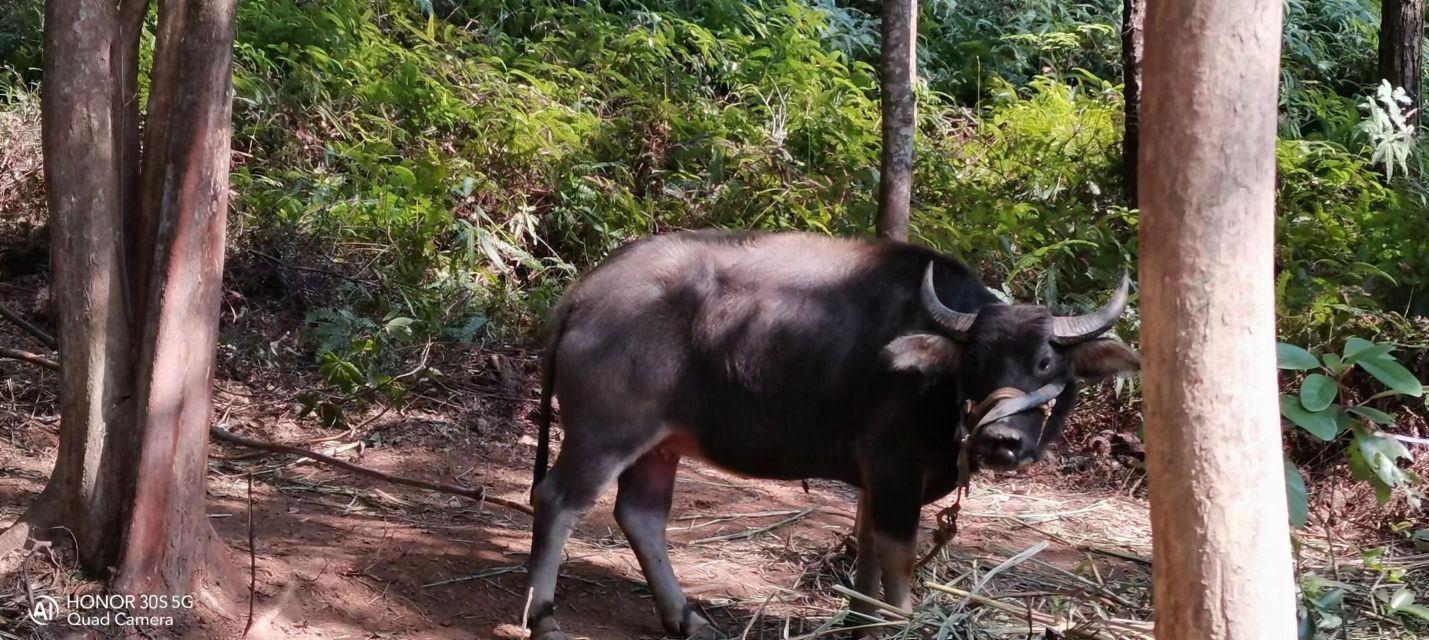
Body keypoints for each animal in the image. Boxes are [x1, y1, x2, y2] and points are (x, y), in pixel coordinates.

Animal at [523, 227, 1137, 637]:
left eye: (1044, 363)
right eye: (975, 363)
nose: (1000, 441)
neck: (930, 380)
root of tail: (582, 295)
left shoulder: (876, 478)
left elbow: (866, 549)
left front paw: (859, 622)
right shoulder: (895, 471)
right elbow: (898, 563)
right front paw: (895, 623)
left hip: (660, 444)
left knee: (641, 515)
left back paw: (685, 619)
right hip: (604, 433)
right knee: (557, 499)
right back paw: (544, 618)